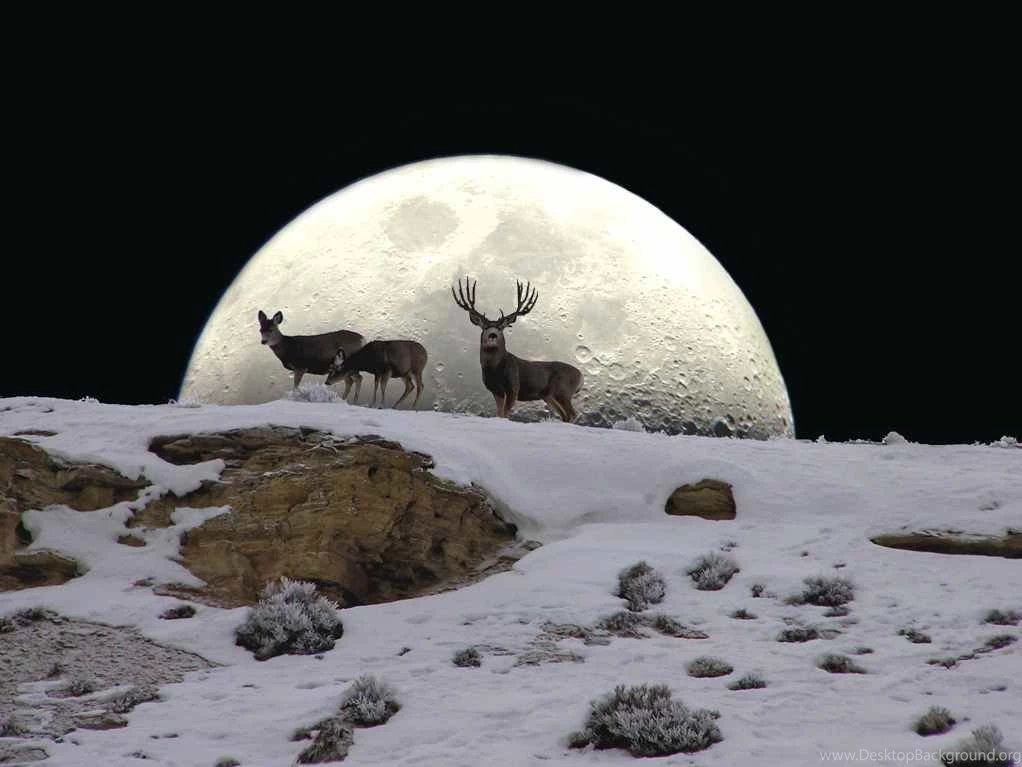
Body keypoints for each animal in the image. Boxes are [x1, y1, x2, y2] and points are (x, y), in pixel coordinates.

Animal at [452, 278, 583, 422]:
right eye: (485, 327)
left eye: (501, 327)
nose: (493, 335)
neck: (495, 370)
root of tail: (581, 376)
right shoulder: (495, 390)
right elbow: (499, 414)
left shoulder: (513, 386)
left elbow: (505, 414)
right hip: (548, 395)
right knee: (565, 415)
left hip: (563, 390)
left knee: (572, 414)